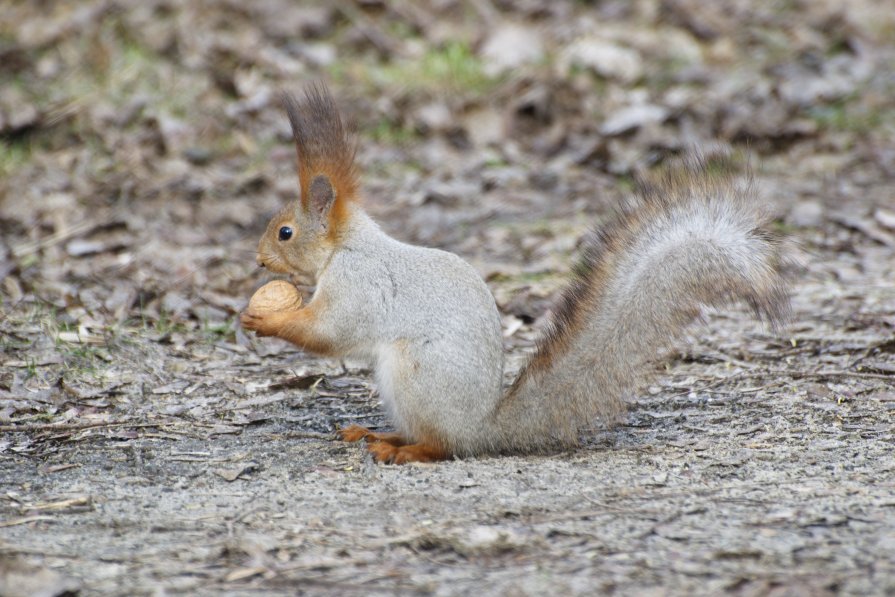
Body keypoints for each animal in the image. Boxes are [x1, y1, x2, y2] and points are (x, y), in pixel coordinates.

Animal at [240, 85, 792, 466]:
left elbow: (331, 333)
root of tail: (482, 428)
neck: (348, 246)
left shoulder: (360, 284)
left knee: (443, 445)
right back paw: (377, 434)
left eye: (285, 232)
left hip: (415, 375)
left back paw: (404, 450)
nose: (259, 260)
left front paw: (265, 321)